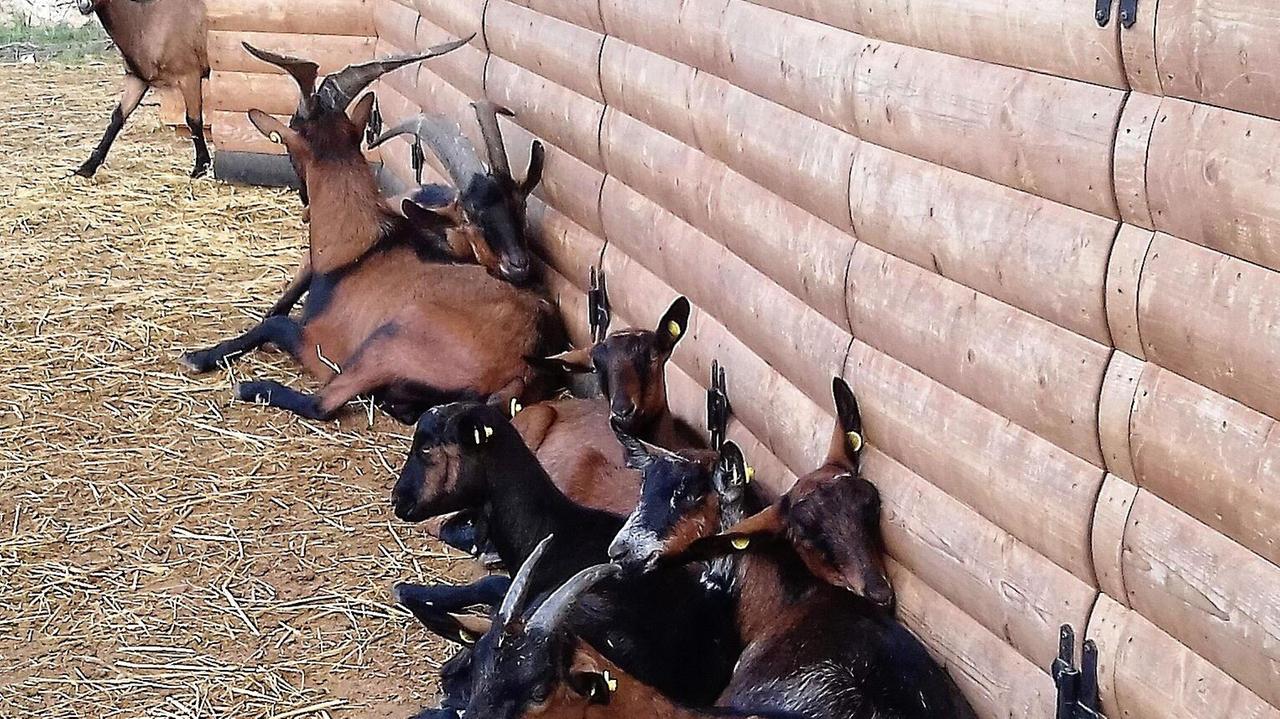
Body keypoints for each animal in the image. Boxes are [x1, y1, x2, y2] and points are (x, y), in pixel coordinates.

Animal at [75, 0, 210, 178]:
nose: (84, 5)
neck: (145, 19)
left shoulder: (189, 76)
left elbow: (193, 120)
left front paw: (201, 167)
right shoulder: (137, 79)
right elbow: (118, 117)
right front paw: (88, 167)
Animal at [179, 43, 560, 423]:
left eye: (290, 134)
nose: (304, 200)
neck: (359, 247)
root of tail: (526, 365)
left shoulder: (322, 345)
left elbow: (274, 325)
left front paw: (200, 356)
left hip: (390, 338)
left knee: (324, 403)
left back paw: (252, 387)